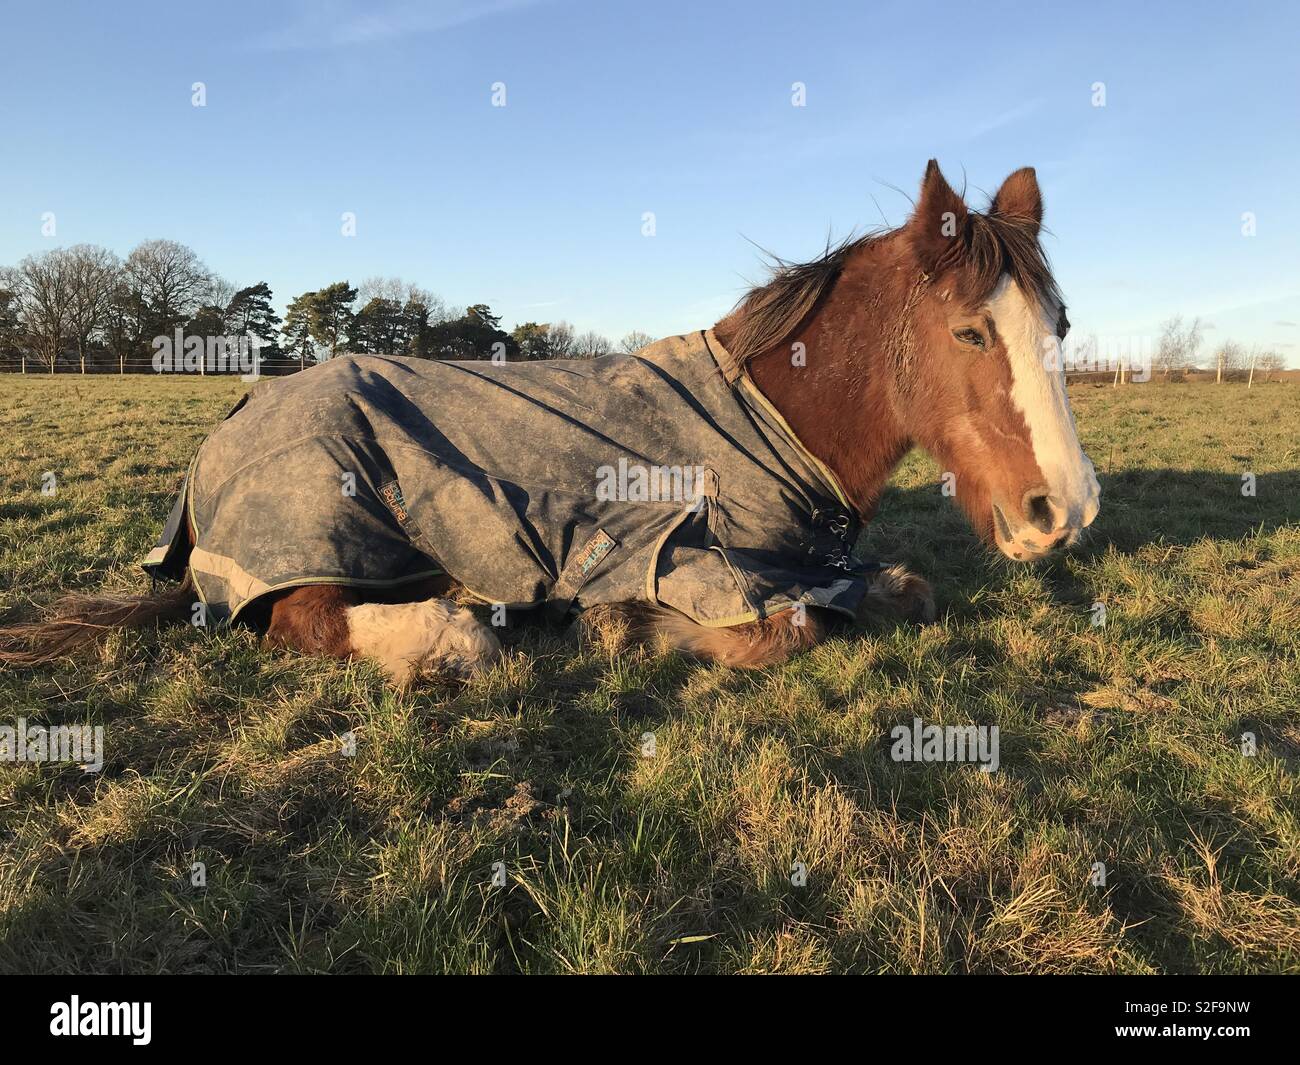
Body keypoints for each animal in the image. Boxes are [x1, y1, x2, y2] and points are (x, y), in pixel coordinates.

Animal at [0, 161, 1100, 685]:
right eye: (968, 331)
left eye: (1059, 324)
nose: (1066, 510)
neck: (766, 420)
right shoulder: (687, 556)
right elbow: (781, 630)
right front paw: (625, 627)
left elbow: (902, 590)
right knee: (304, 621)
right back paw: (454, 634)